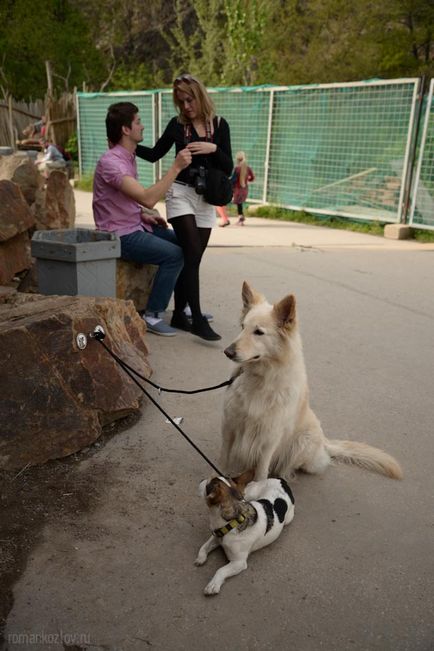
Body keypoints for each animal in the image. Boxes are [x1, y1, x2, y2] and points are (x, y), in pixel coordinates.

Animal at [196, 468, 294, 596]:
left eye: (207, 485)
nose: (201, 480)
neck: (234, 521)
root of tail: (282, 481)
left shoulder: (239, 562)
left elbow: (221, 570)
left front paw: (213, 584)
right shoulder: (216, 536)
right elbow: (204, 546)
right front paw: (201, 557)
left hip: (289, 519)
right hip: (250, 493)